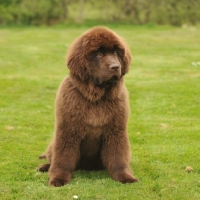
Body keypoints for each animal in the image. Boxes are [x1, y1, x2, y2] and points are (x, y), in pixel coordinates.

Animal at [37, 26, 138, 186]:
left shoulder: (116, 131)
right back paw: (44, 167)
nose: (116, 67)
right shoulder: (67, 131)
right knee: (52, 158)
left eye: (116, 53)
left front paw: (125, 177)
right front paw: (58, 179)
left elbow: (118, 158)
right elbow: (63, 159)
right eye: (99, 54)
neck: (96, 98)